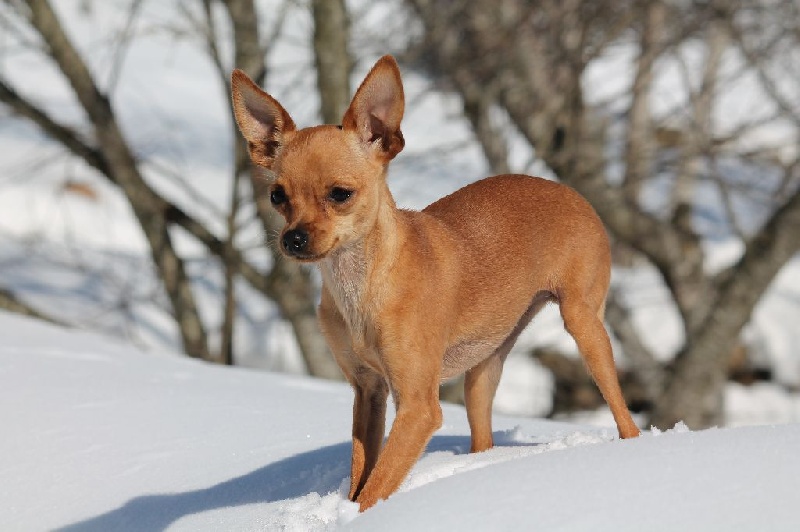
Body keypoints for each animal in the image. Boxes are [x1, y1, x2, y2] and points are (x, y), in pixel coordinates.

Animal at [230, 54, 636, 512]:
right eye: (277, 197)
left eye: (340, 194)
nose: (293, 238)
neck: (361, 283)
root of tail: (572, 192)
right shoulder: (368, 393)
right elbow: (360, 476)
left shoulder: (419, 408)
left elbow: (375, 489)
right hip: (484, 370)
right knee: (483, 436)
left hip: (584, 325)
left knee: (625, 417)